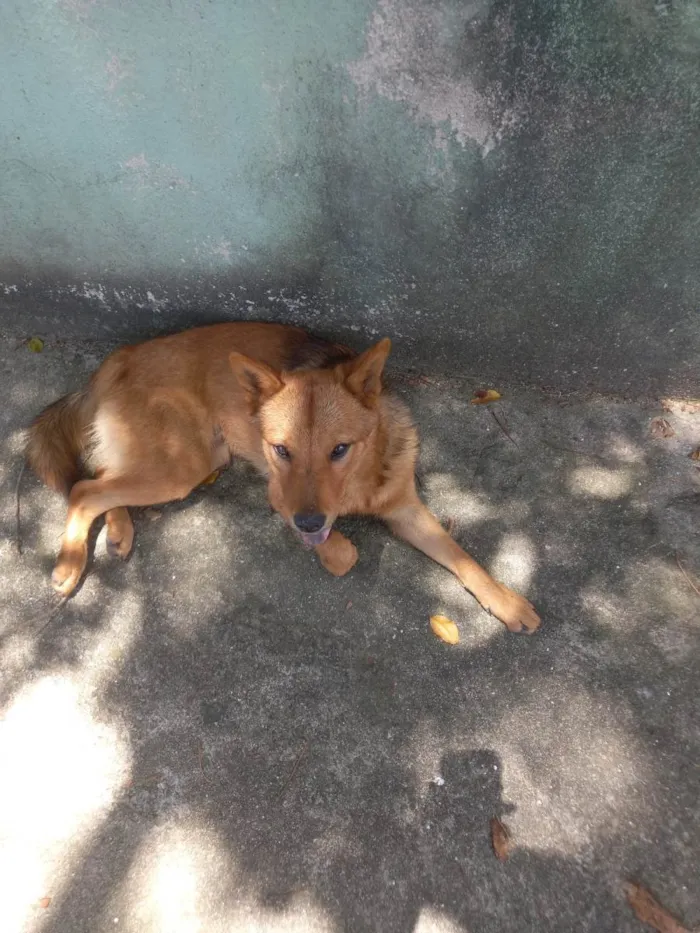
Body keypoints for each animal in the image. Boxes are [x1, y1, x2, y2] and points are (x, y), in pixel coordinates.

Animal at [27, 322, 540, 632]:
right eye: (280, 450)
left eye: (340, 449)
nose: (309, 524)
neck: (359, 481)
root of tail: (122, 354)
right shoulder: (281, 495)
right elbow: (345, 554)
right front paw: (334, 549)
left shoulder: (407, 510)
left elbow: (464, 557)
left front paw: (506, 600)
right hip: (183, 466)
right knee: (83, 488)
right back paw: (70, 562)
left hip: (182, 460)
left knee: (100, 476)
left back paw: (118, 529)